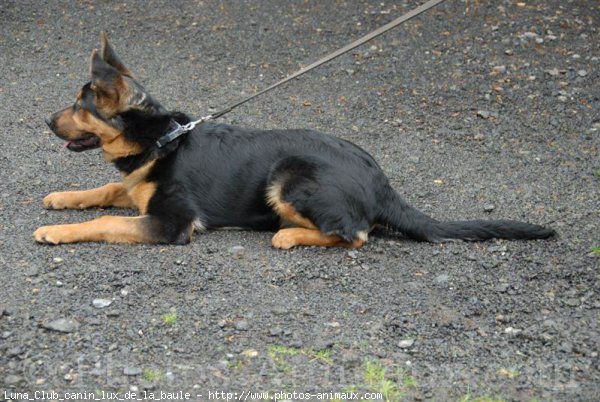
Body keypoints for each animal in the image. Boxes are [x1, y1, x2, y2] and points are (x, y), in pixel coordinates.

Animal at [35, 33, 556, 248]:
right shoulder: (139, 189)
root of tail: (383, 183)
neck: (164, 139)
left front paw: (57, 231)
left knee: (356, 234)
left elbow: (107, 221)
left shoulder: (172, 223)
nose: (44, 120)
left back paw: (288, 234)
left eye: (79, 105)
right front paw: (63, 197)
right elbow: (107, 190)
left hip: (290, 176)